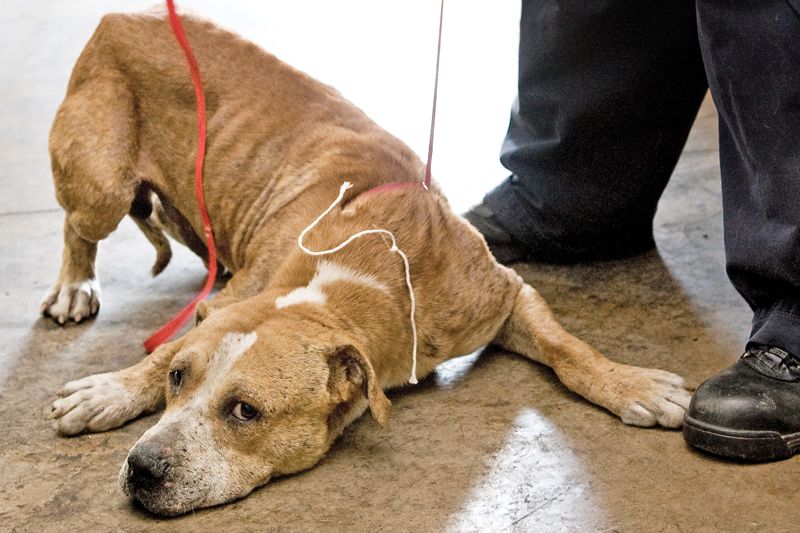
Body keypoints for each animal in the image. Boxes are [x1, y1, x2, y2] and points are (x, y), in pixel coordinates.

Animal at [47, 8, 692, 516]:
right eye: (180, 377)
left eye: (245, 412)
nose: (142, 467)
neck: (363, 270)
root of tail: (128, 15)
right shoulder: (234, 301)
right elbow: (164, 350)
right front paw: (113, 389)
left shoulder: (506, 293)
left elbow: (567, 348)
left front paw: (629, 383)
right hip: (102, 186)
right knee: (78, 226)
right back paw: (74, 286)